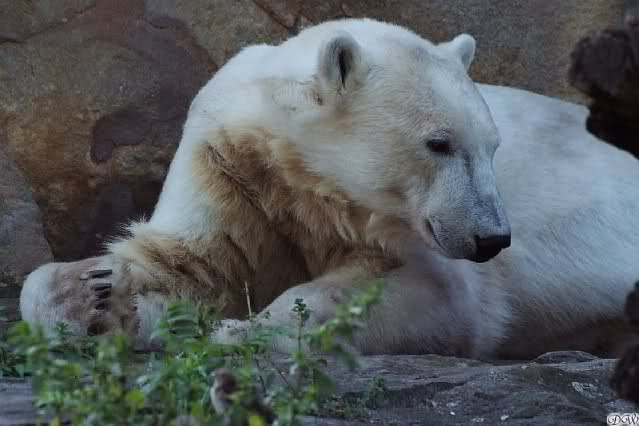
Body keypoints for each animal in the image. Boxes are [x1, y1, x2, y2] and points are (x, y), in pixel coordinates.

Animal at [19, 18, 639, 359]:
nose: (492, 238)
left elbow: (424, 294)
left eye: (492, 146)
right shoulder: (230, 169)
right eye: (439, 143)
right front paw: (91, 294)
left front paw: (241, 334)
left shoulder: (409, 235)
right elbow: (199, 261)